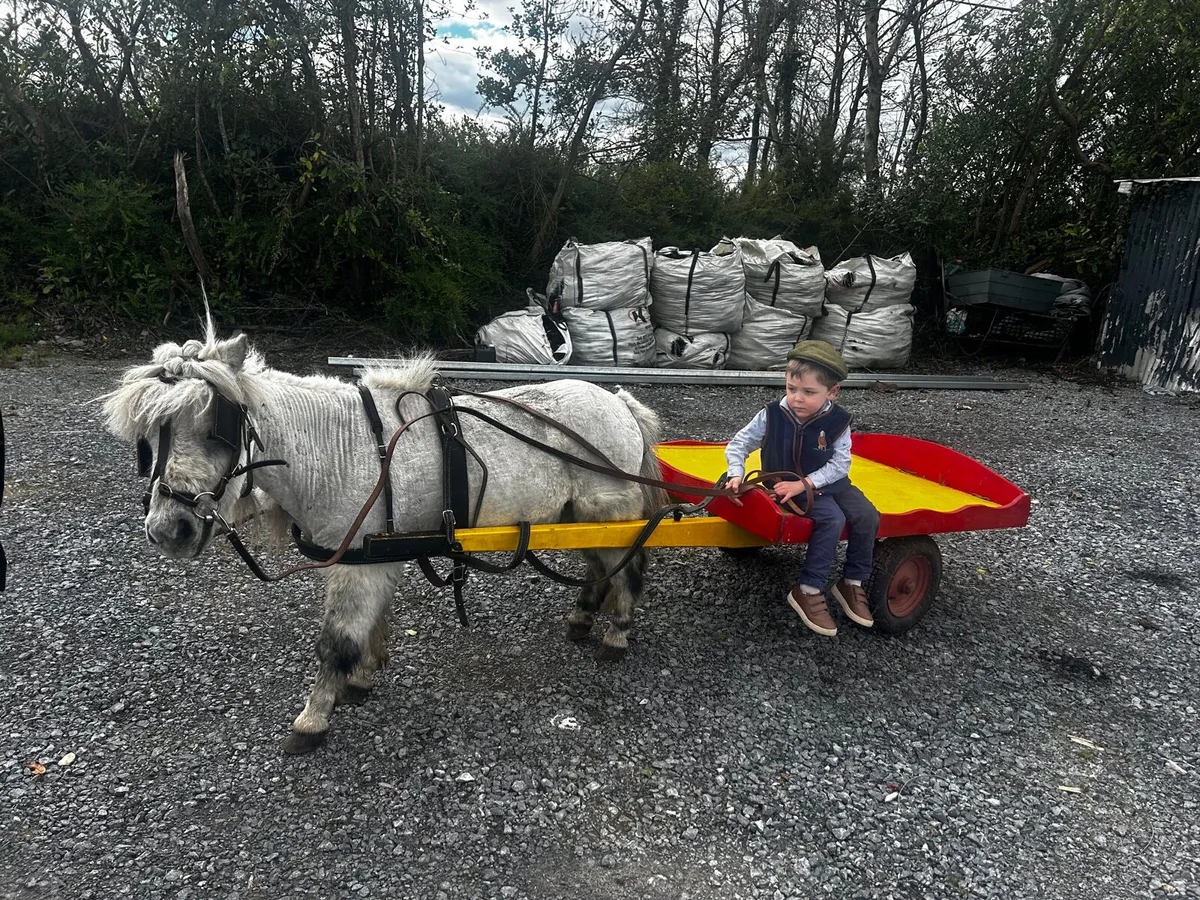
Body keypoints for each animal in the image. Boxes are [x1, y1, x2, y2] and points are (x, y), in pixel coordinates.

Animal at [103, 328, 666, 754]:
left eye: (216, 429)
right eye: (147, 440)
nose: (168, 530)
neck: (338, 448)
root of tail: (619, 401)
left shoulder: (356, 564)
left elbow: (335, 642)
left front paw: (313, 718)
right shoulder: (373, 556)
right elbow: (372, 624)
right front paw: (363, 677)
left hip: (609, 510)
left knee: (627, 566)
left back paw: (616, 632)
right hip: (581, 515)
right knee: (600, 565)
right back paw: (582, 617)